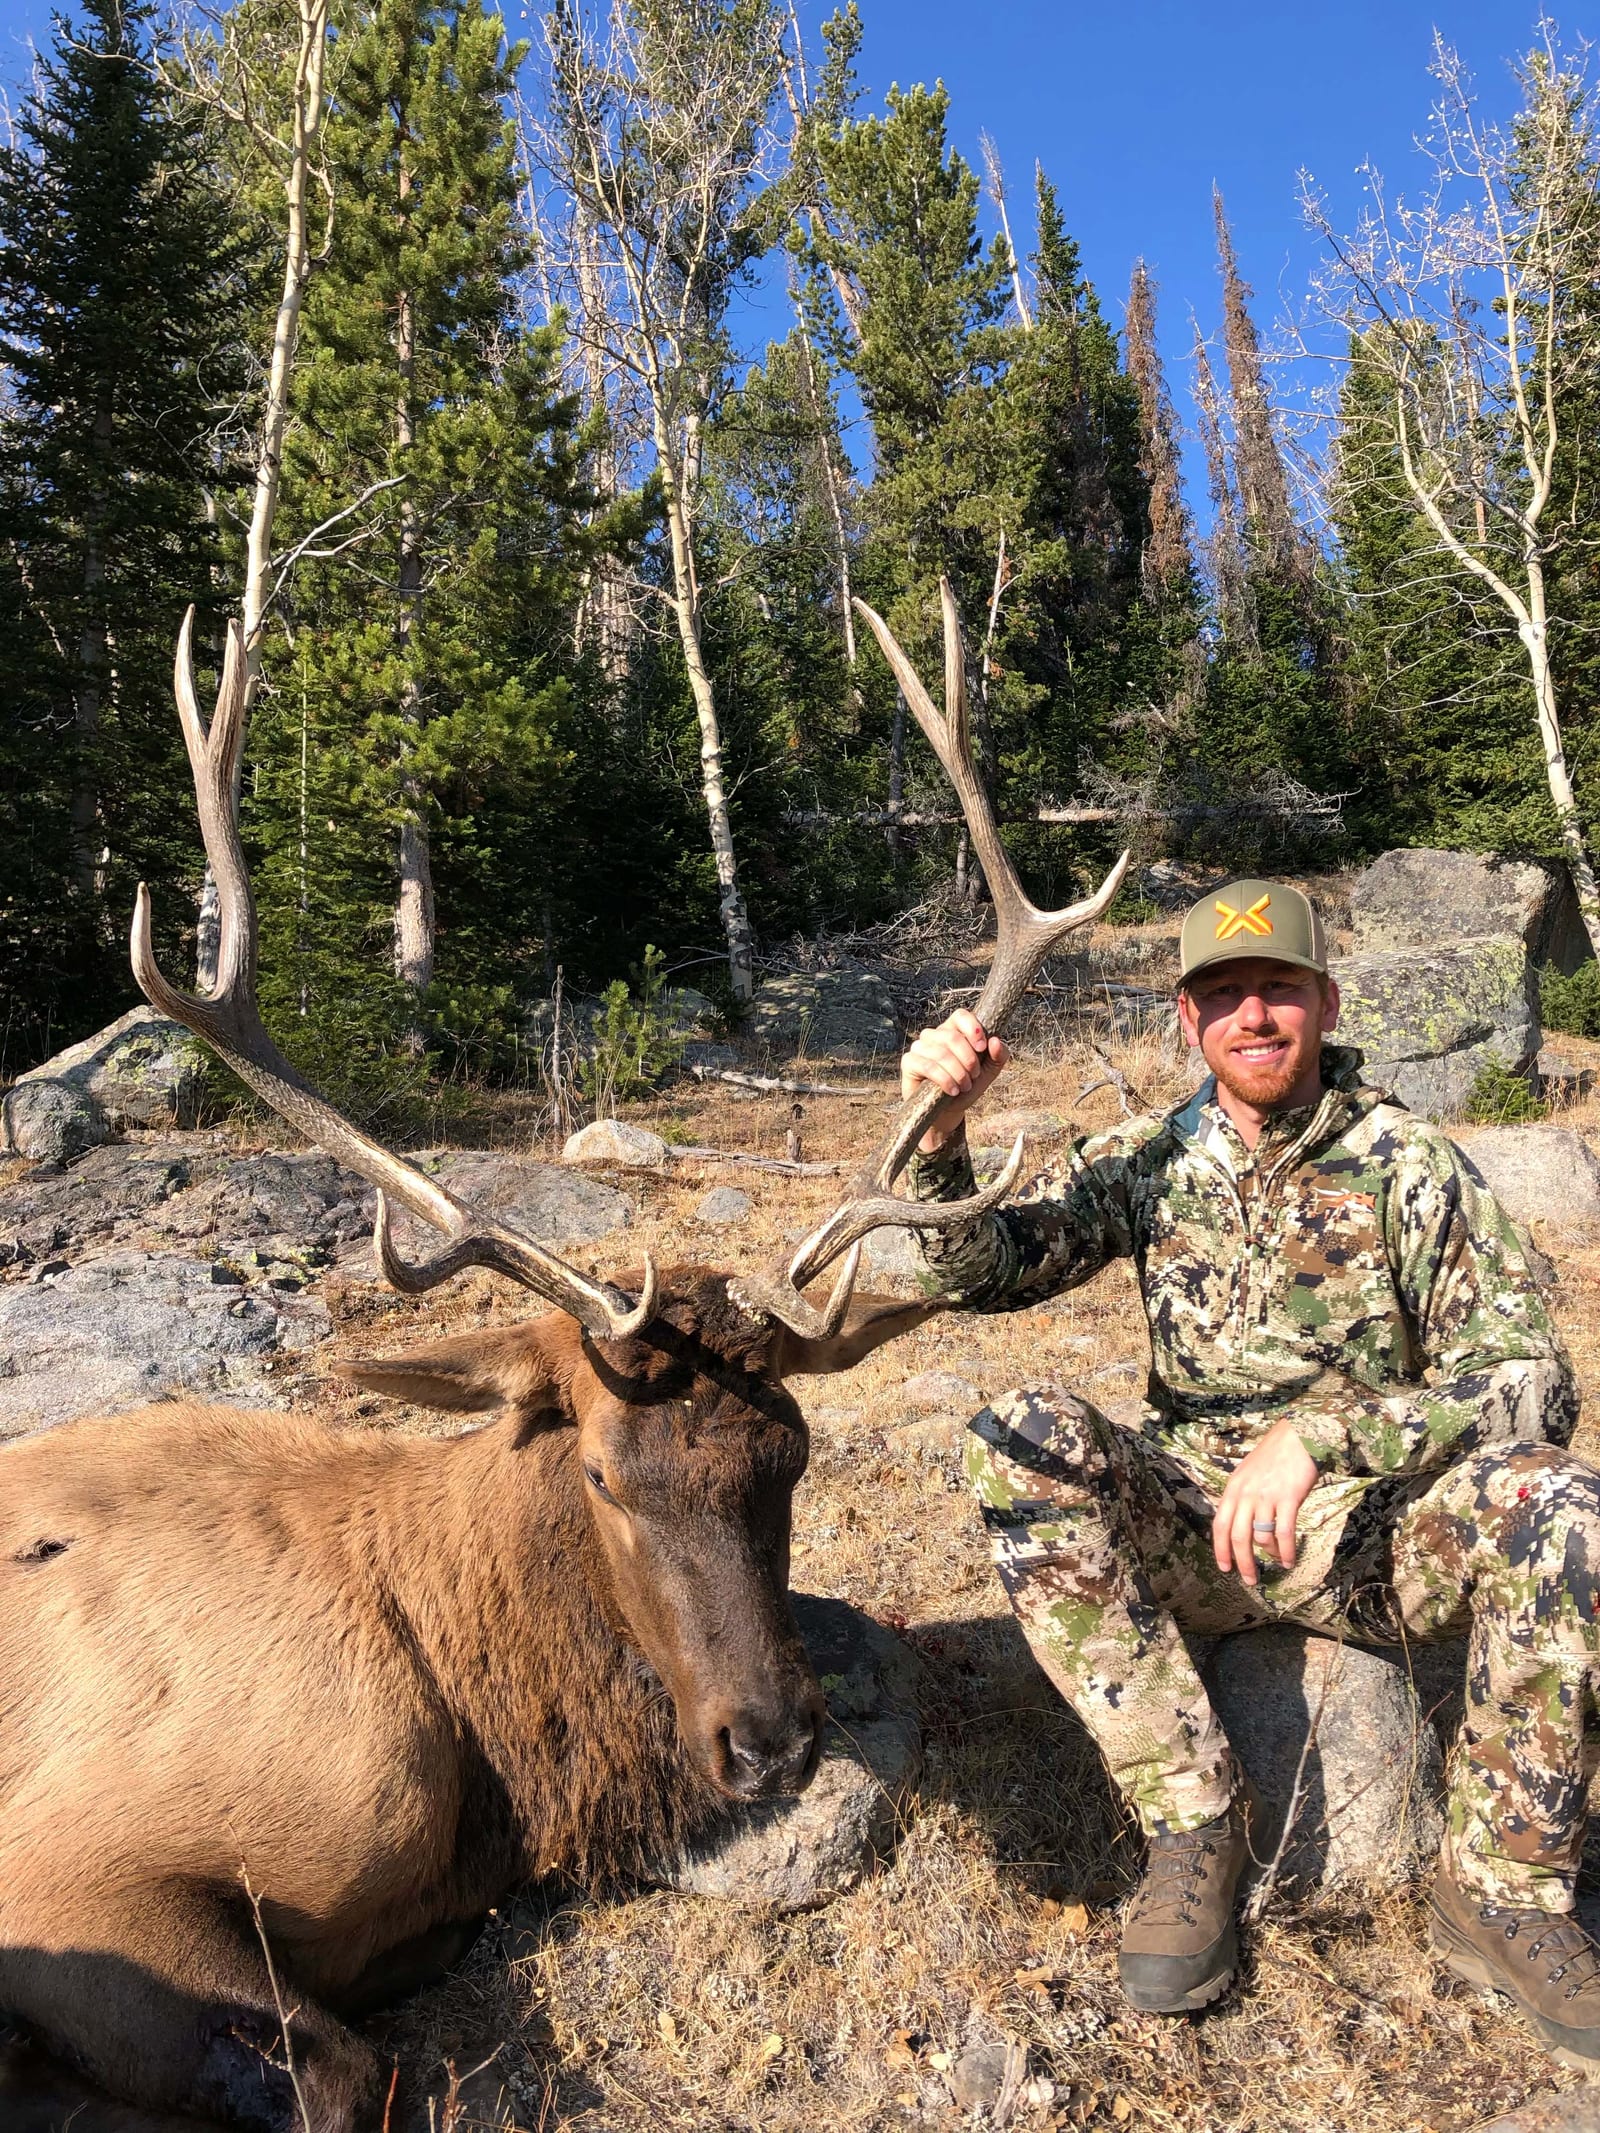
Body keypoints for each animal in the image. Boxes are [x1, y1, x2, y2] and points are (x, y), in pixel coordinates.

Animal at [0, 579, 1125, 2133]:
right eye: (597, 1472)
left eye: (793, 1457)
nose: (772, 1738)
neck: (489, 1757)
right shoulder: (64, 1864)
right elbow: (342, 2070)